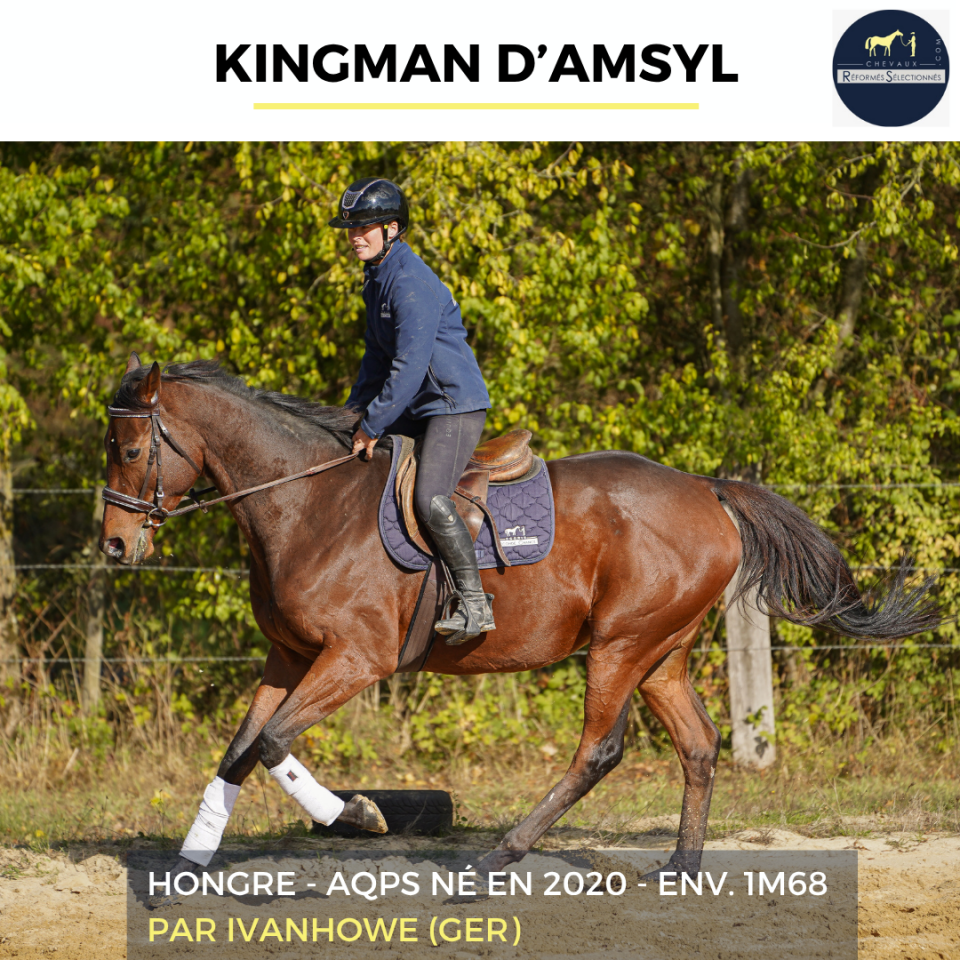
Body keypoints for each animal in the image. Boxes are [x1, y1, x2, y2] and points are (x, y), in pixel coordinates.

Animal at [99, 355, 938, 887]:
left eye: (131, 449)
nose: (112, 545)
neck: (306, 502)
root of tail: (709, 489)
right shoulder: (289, 656)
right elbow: (240, 750)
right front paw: (190, 860)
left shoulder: (355, 658)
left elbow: (273, 743)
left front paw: (359, 814)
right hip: (662, 653)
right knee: (698, 745)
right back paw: (680, 868)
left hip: (620, 645)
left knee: (598, 751)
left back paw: (498, 857)